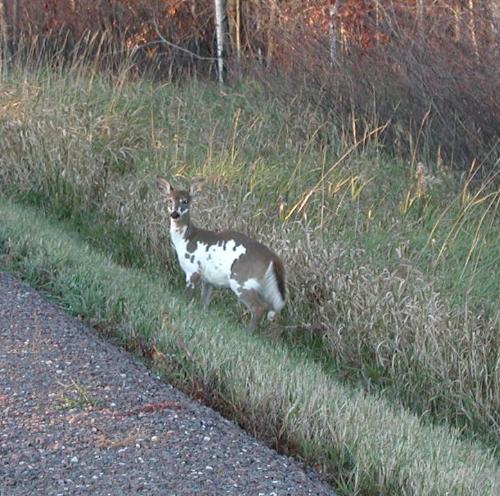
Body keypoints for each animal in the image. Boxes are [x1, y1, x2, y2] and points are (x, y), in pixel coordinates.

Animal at [158, 176, 288, 332]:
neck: (185, 240)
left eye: (185, 201)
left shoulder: (193, 270)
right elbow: (204, 303)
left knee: (259, 307)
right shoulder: (208, 280)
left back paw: (247, 332)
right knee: (275, 312)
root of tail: (274, 258)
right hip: (263, 285)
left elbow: (185, 297)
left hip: (241, 279)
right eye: (169, 200)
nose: (174, 214)